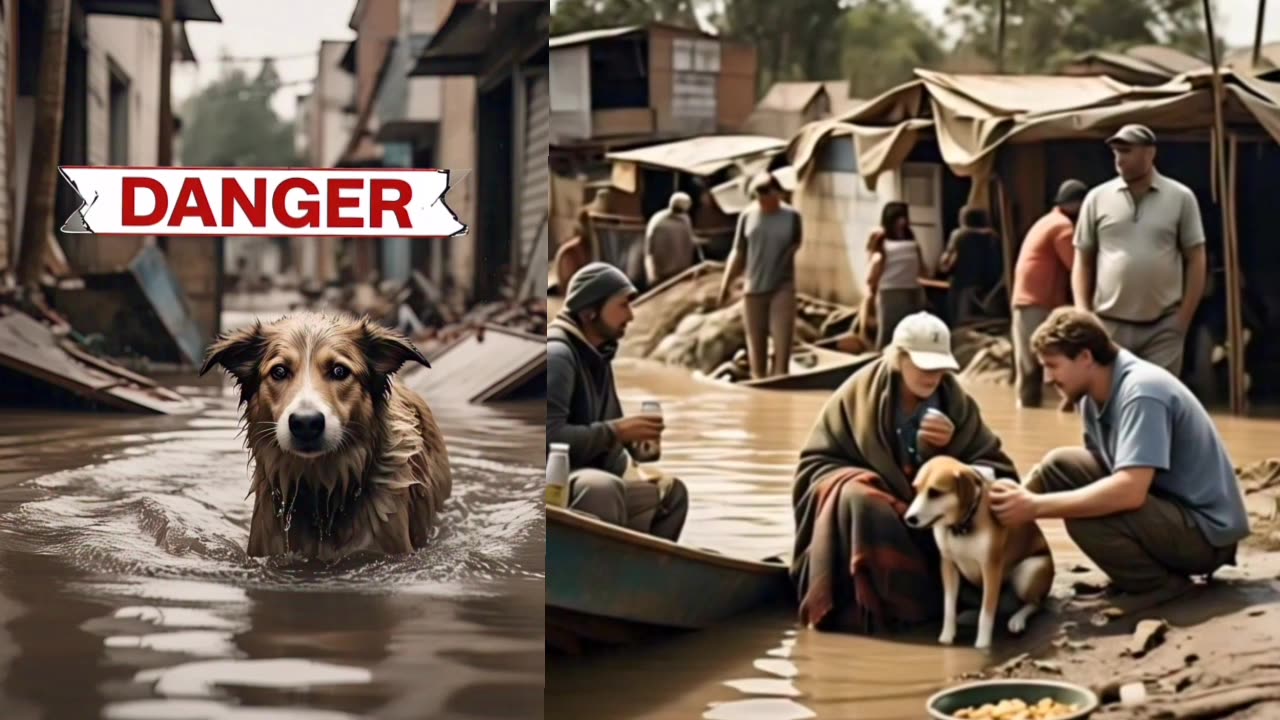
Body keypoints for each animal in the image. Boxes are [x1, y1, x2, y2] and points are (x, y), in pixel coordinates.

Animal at [901, 456, 1049, 648]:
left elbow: (986, 614)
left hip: (1028, 571)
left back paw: (1017, 620)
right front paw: (947, 636)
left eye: (935, 492)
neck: (961, 527)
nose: (908, 518)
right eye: (916, 489)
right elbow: (949, 606)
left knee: (1035, 604)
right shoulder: (948, 565)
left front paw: (982, 645)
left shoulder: (990, 567)